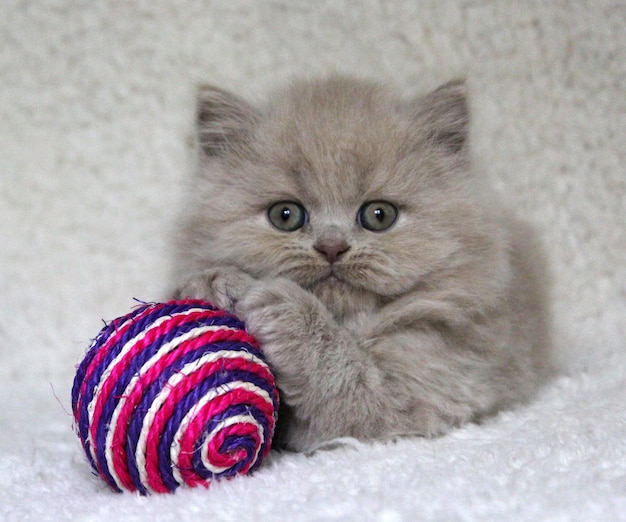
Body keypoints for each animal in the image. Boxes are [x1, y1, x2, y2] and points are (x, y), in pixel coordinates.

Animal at [168, 74, 548, 450]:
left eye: (379, 215)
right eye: (285, 215)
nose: (332, 247)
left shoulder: (430, 393)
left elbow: (346, 381)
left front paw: (285, 311)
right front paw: (211, 282)